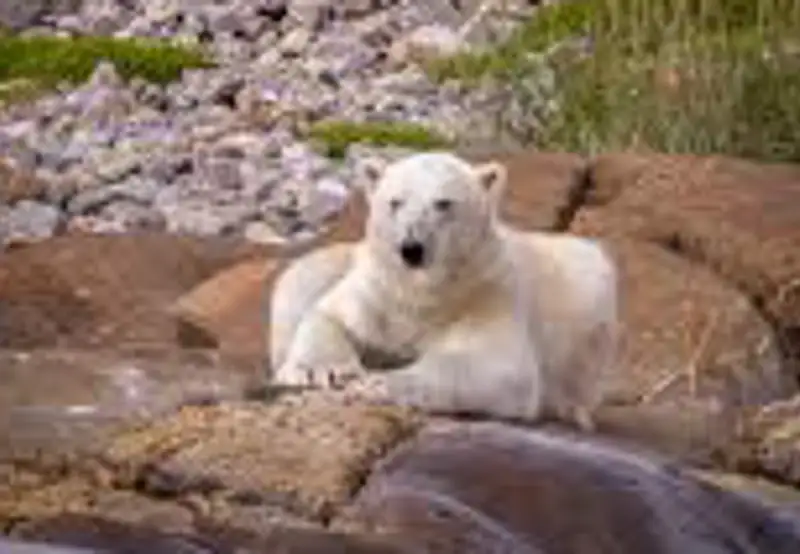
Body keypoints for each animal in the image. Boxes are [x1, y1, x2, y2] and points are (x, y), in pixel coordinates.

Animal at [267, 151, 618, 431]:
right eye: (395, 202)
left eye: (443, 203)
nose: (411, 249)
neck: (425, 292)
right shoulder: (380, 290)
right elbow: (330, 315)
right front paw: (320, 372)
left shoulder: (488, 294)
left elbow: (496, 365)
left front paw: (376, 383)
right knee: (302, 276)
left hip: (589, 285)